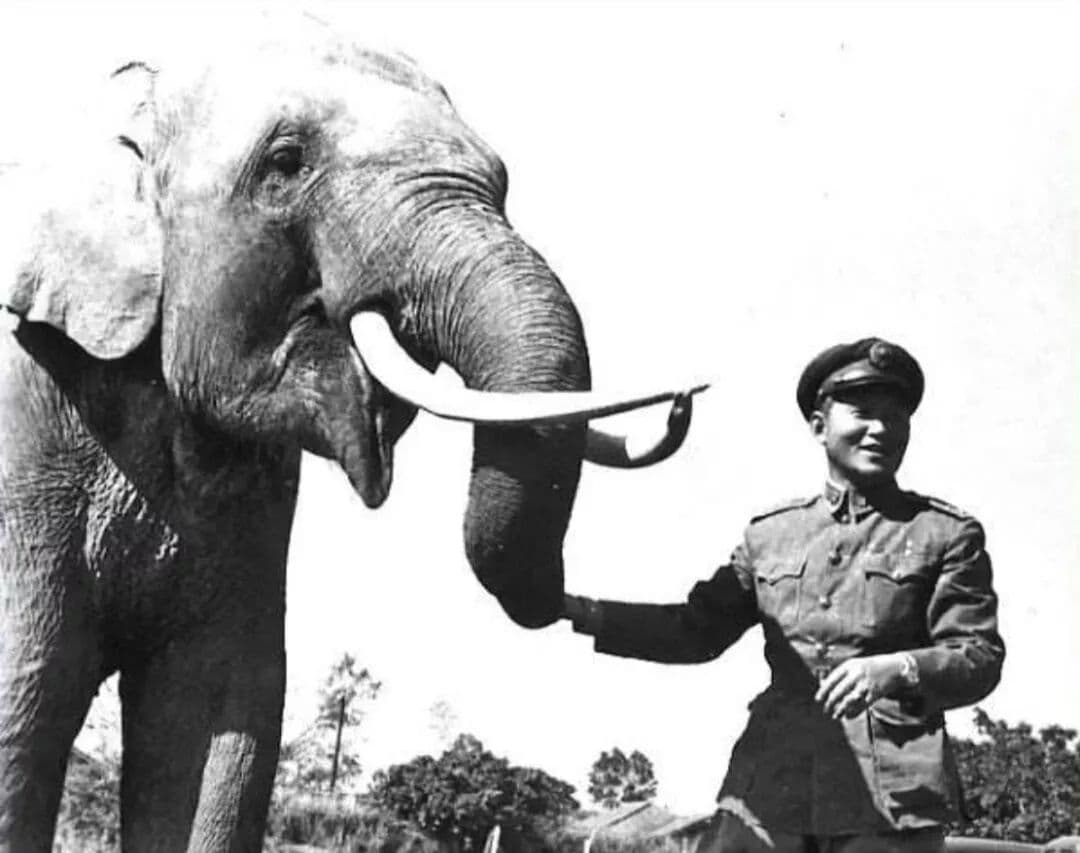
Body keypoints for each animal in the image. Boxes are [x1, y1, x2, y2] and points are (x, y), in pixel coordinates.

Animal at [0, 27, 705, 853]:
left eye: (502, 179)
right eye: (285, 162)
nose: (689, 395)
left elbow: (212, 714)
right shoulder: (23, 447)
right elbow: (28, 686)